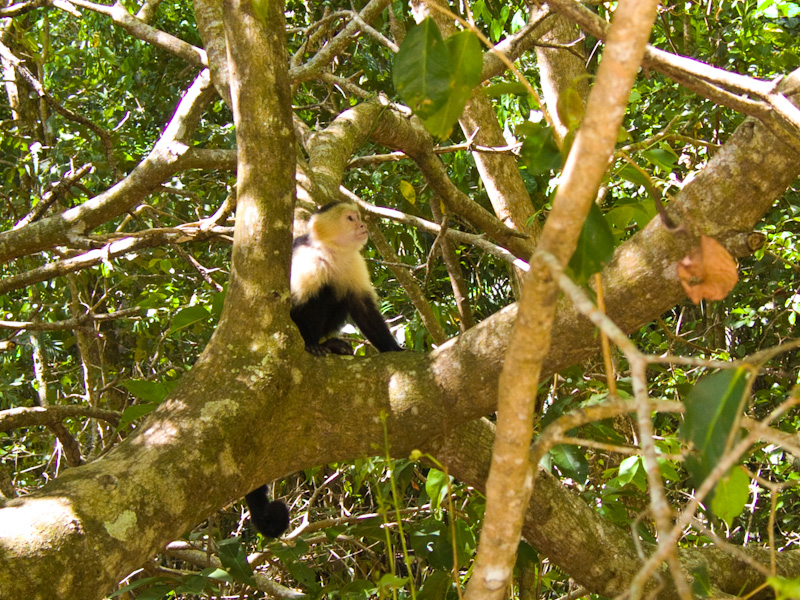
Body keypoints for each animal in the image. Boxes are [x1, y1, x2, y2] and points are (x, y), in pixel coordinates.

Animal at [244, 202, 404, 540]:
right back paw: (318, 345)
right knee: (322, 292)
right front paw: (308, 344)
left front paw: (394, 349)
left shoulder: (353, 262)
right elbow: (294, 306)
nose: (364, 224)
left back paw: (331, 344)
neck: (331, 252)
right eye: (351, 218)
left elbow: (363, 308)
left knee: (338, 292)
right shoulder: (306, 261)